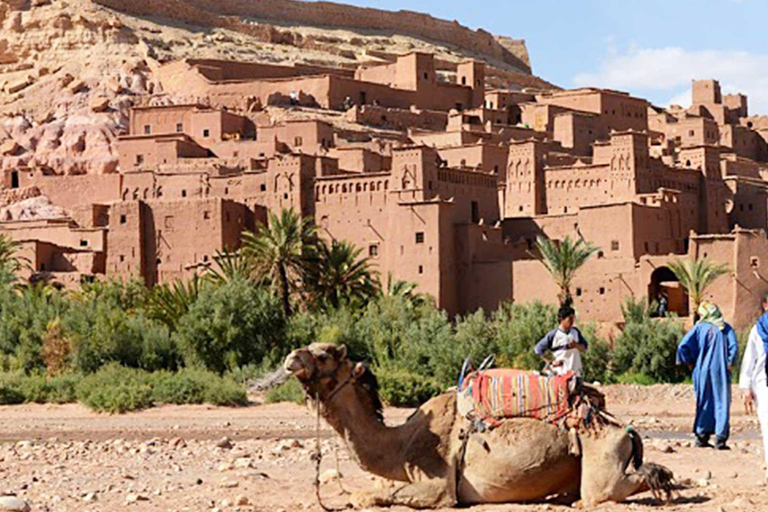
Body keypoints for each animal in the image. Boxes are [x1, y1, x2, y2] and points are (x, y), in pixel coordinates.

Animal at [284, 343, 673, 509]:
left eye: (323, 354)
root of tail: (623, 429)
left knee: (616, 487)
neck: (401, 444)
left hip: (602, 456)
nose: (291, 359)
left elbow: (369, 495)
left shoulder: (440, 486)